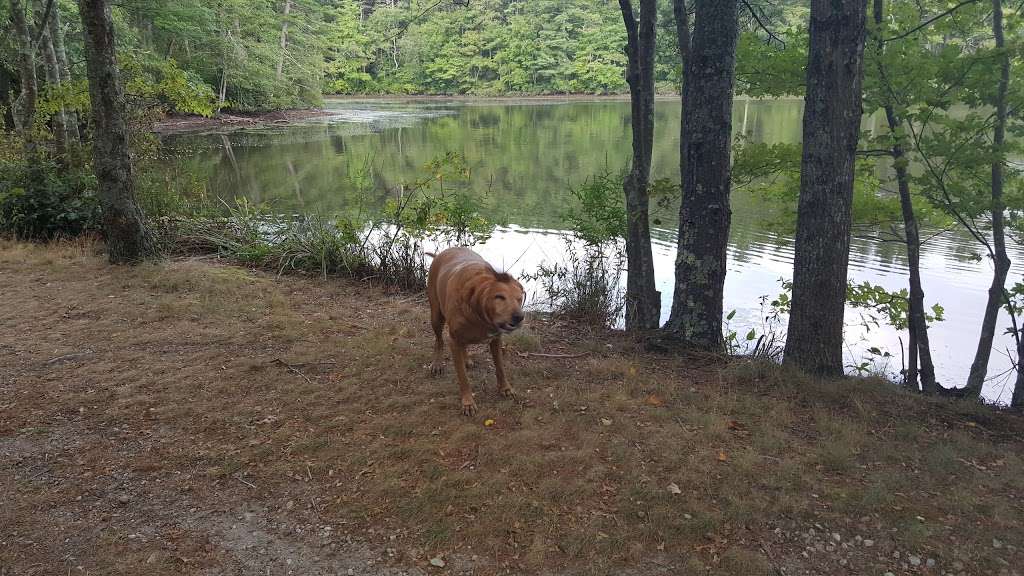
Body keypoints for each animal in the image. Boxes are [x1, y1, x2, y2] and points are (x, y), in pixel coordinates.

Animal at [428, 245, 528, 412]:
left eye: (519, 298)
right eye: (499, 297)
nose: (519, 317)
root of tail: (442, 253)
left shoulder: (496, 339)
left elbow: (500, 367)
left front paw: (505, 388)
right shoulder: (453, 340)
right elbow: (463, 377)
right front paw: (468, 402)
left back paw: (466, 359)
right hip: (436, 316)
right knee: (439, 340)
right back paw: (437, 363)